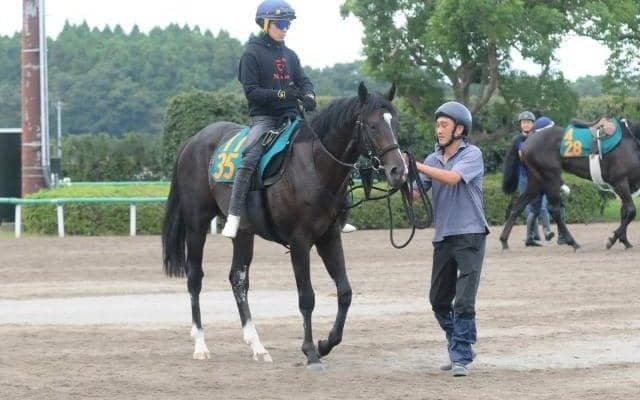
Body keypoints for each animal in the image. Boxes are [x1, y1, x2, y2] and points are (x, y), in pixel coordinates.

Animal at [161, 82, 406, 369]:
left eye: (395, 123)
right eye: (372, 125)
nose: (398, 171)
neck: (314, 164)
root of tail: (193, 141)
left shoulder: (329, 238)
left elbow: (345, 292)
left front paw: (325, 344)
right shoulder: (300, 241)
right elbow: (307, 297)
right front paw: (310, 351)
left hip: (243, 233)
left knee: (238, 279)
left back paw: (257, 345)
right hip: (196, 225)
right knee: (195, 277)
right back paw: (201, 344)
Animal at [499, 117, 640, 250]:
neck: (631, 140)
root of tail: (527, 139)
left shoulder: (627, 185)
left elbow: (624, 211)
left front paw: (625, 241)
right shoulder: (620, 181)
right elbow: (631, 211)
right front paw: (612, 239)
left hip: (536, 181)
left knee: (518, 207)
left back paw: (504, 240)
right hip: (551, 177)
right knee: (554, 210)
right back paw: (572, 242)